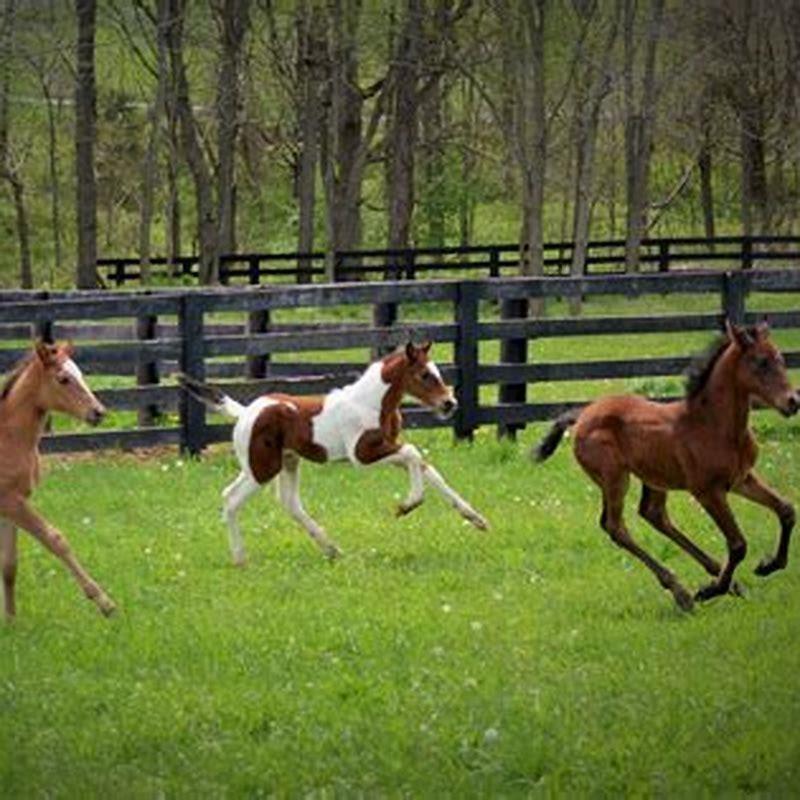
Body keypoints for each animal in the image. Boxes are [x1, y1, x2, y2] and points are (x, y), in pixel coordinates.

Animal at [0, 341, 116, 620]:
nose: (98, 412)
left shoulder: (11, 504)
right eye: (63, 379)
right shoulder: (10, 501)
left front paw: (10, 620)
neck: (7, 438)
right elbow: (56, 539)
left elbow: (9, 564)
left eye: (82, 374)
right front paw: (105, 603)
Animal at [178, 341, 488, 564]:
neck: (371, 403)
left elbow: (427, 468)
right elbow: (413, 453)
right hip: (262, 468)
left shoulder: (387, 448)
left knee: (288, 502)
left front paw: (476, 519)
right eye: (424, 375)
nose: (449, 404)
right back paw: (241, 558)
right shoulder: (362, 455)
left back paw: (332, 550)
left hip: (283, 462)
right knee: (232, 499)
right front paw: (406, 506)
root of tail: (245, 413)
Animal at [533, 321, 799, 612]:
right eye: (760, 362)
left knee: (653, 514)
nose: (792, 402)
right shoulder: (707, 491)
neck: (715, 425)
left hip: (653, 477)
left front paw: (769, 565)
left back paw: (720, 579)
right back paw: (683, 591)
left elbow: (787, 510)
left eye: (780, 359)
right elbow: (738, 544)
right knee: (615, 526)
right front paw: (711, 590)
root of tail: (582, 416)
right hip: (614, 477)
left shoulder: (742, 479)